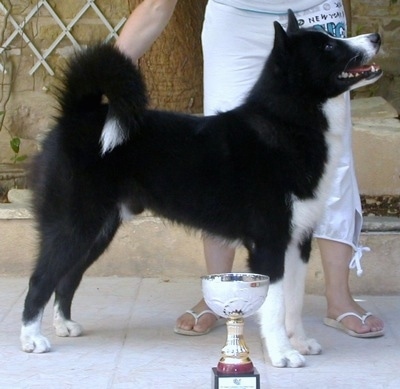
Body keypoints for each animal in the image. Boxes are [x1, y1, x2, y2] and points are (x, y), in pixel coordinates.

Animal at [19, 9, 382, 366]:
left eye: (331, 38)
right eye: (328, 48)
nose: (376, 37)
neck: (286, 123)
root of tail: (78, 117)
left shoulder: (298, 241)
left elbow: (293, 302)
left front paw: (300, 343)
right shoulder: (269, 243)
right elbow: (275, 305)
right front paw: (282, 354)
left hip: (97, 231)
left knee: (67, 278)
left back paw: (64, 324)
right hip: (73, 225)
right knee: (40, 279)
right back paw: (31, 339)